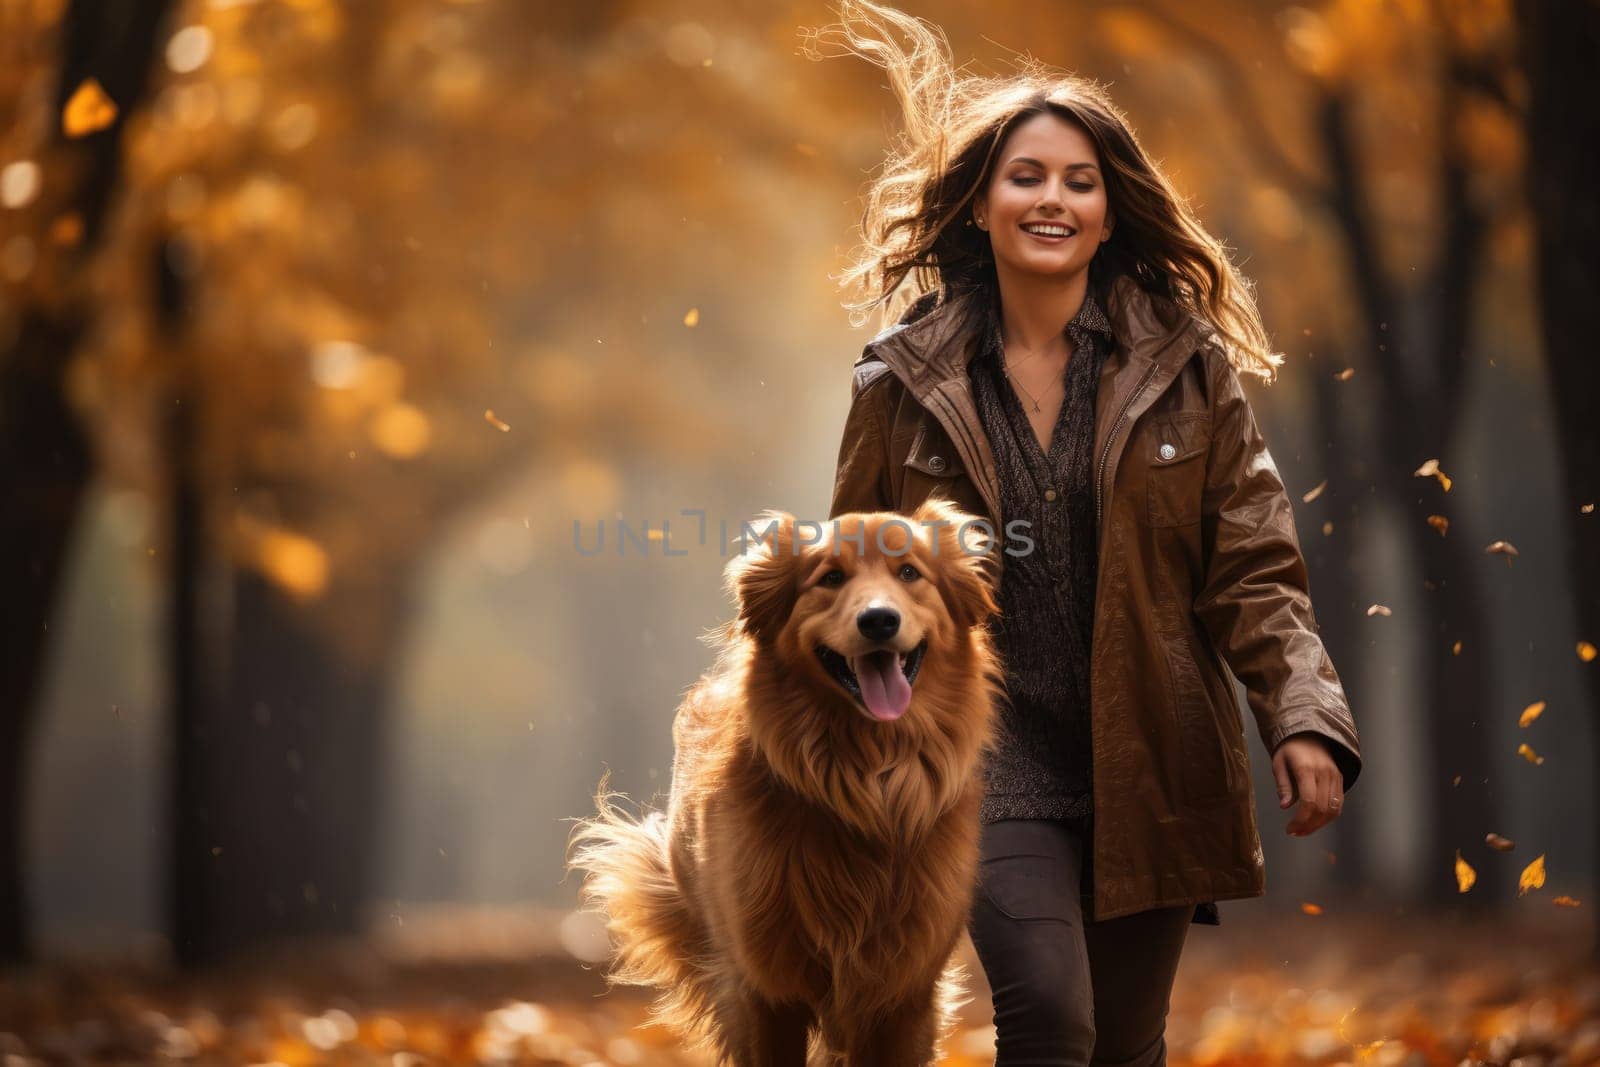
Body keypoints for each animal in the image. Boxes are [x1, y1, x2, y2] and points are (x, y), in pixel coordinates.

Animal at [566, 502, 998, 1067]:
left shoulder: (905, 995)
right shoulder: (766, 991)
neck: (866, 783)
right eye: (831, 578)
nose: (879, 620)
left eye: (909, 573)